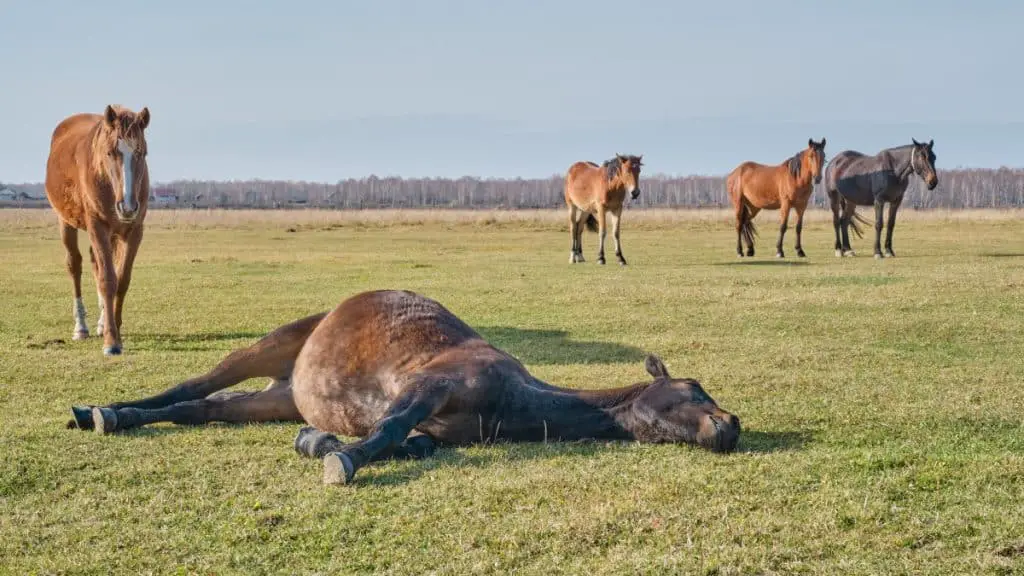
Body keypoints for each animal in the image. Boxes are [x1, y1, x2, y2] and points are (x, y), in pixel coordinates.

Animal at [45, 105, 152, 352]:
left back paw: (102, 322)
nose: (128, 206)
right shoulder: (97, 227)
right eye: (110, 153)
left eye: (142, 153)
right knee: (75, 265)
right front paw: (112, 341)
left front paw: (113, 327)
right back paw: (81, 328)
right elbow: (107, 280)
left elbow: (122, 280)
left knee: (96, 263)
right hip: (67, 223)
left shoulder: (134, 232)